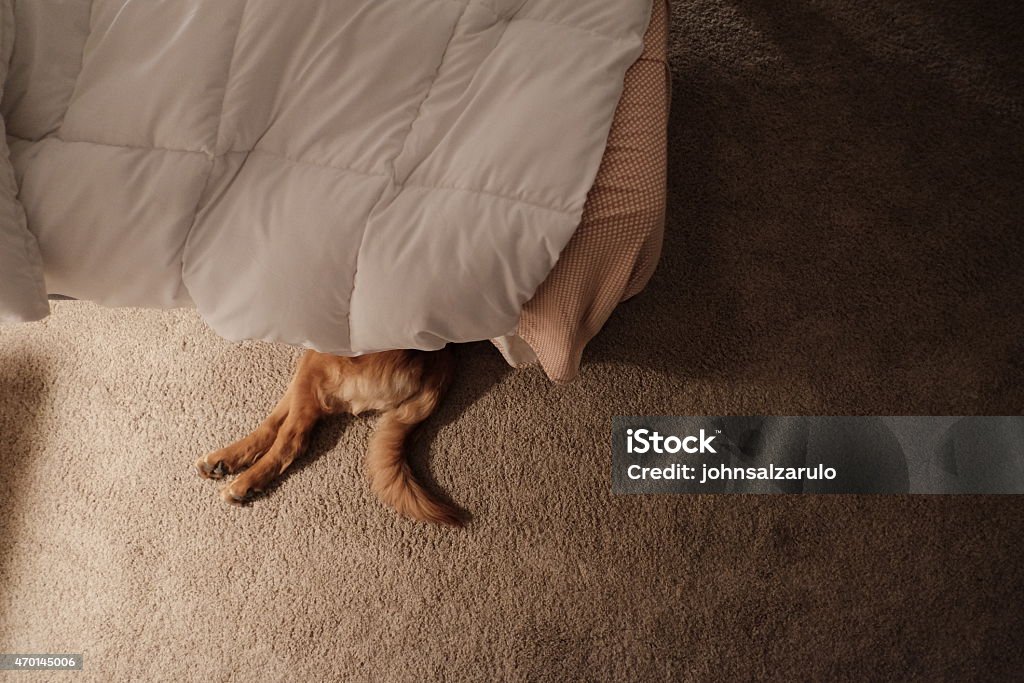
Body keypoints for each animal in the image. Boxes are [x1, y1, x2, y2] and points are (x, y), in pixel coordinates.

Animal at [195, 350, 460, 528]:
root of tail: (440, 361)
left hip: (320, 364)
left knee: (292, 440)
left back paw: (244, 483)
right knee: (274, 424)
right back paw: (222, 461)